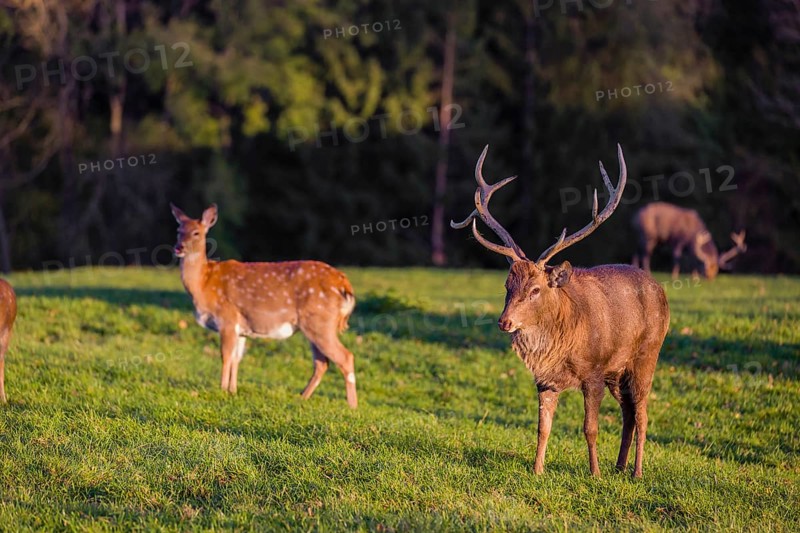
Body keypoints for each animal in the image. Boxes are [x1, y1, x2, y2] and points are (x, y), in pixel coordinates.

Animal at [170, 204, 358, 408]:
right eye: (179, 230)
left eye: (196, 232)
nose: (178, 247)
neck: (203, 284)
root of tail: (344, 284)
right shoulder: (240, 329)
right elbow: (236, 358)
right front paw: (232, 391)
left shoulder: (227, 318)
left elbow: (225, 356)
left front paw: (222, 389)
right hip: (315, 324)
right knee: (322, 363)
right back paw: (301, 397)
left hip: (320, 321)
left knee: (345, 357)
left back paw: (352, 407)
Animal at [451, 145, 669, 478]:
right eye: (507, 284)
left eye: (535, 289)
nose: (504, 322)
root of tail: (661, 290)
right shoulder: (545, 380)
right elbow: (543, 428)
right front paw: (537, 469)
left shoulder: (594, 372)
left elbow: (590, 428)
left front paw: (594, 473)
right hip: (617, 371)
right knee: (628, 413)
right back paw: (619, 466)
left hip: (647, 354)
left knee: (642, 413)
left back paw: (636, 472)